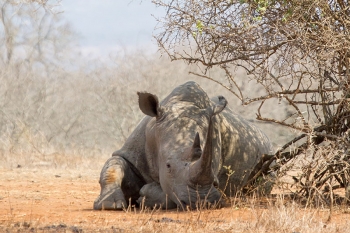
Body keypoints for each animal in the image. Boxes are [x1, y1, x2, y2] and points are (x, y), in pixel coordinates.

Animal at [93, 81, 274, 210]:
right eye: (168, 166)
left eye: (215, 174)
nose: (203, 202)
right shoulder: (131, 153)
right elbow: (114, 165)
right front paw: (109, 205)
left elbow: (168, 193)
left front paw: (144, 196)